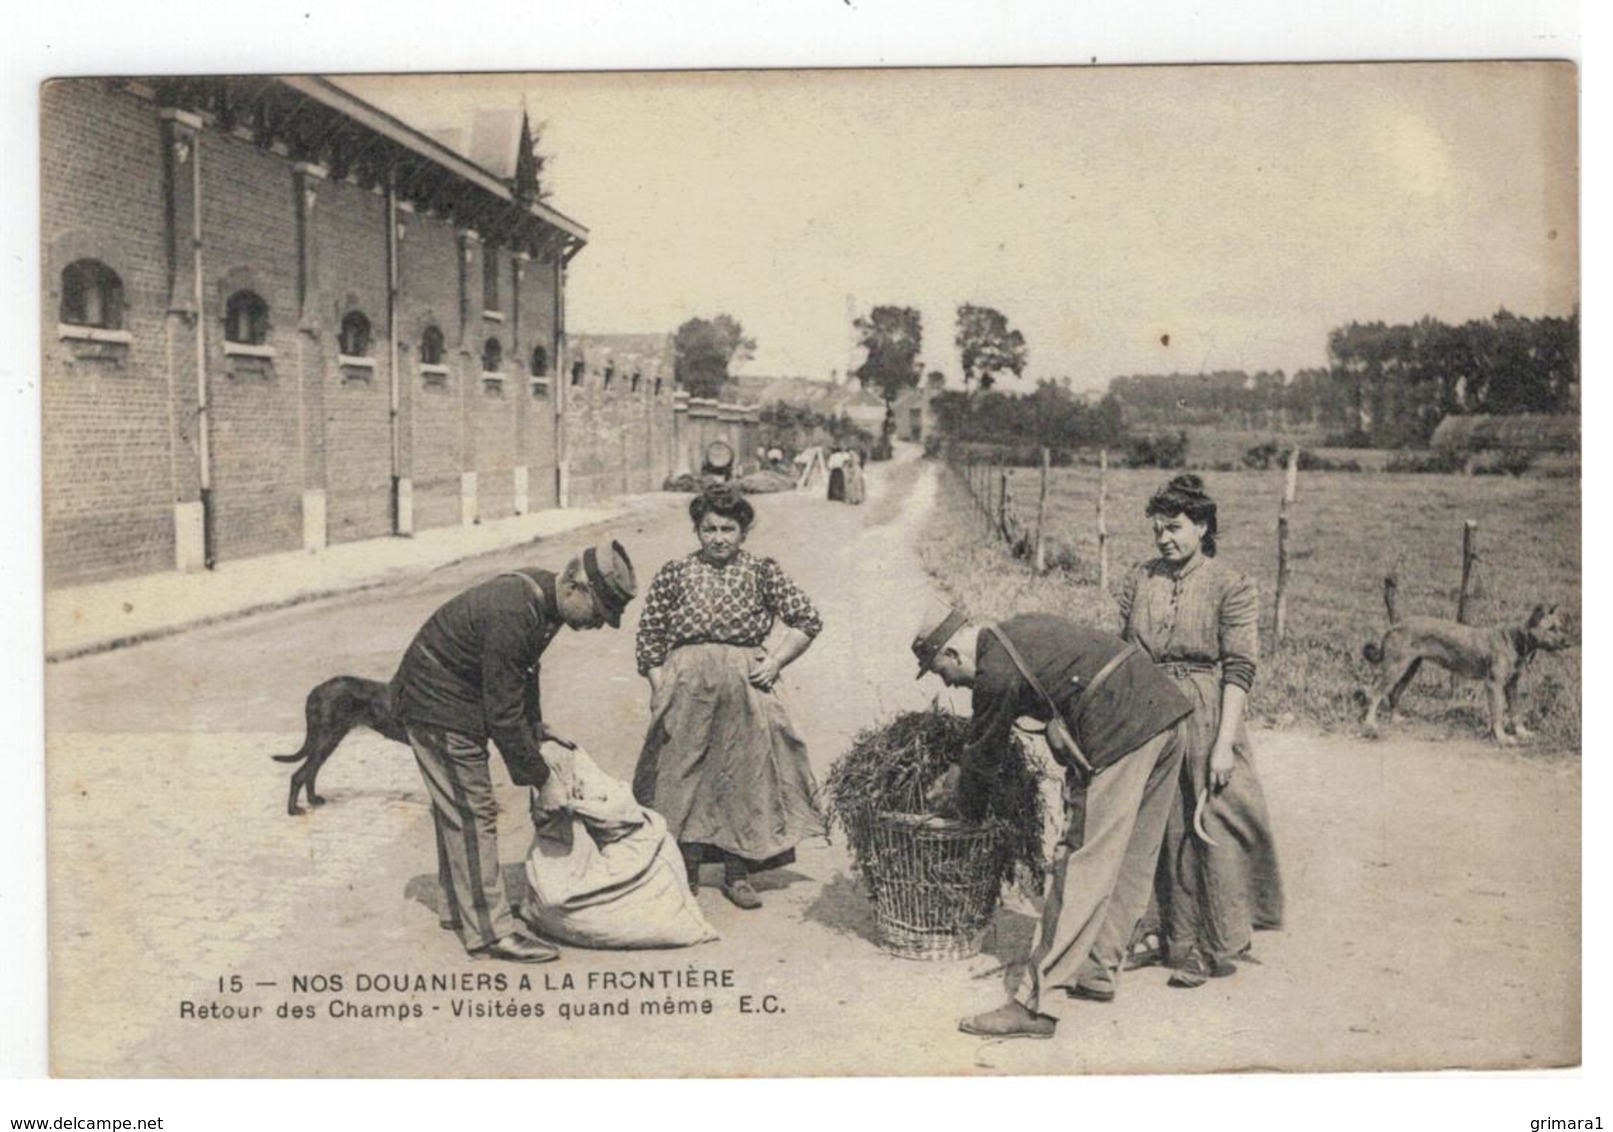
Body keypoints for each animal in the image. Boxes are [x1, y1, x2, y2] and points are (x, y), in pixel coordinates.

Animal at [272, 677, 409, 819]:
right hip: (326, 740)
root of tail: (316, 690)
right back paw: (293, 810)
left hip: (325, 741)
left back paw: (312, 800)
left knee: (310, 773)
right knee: (300, 775)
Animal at [1361, 603, 1574, 744]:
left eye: (1560, 627)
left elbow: (1516, 712)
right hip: (1395, 669)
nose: (1568, 642)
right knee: (1374, 693)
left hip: (1409, 668)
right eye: (1552, 628)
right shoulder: (1494, 684)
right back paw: (1370, 723)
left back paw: (1396, 719)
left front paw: (1522, 732)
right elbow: (1497, 713)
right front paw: (1502, 736)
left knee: (1394, 693)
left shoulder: (1512, 685)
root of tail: (1394, 625)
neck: (1515, 640)